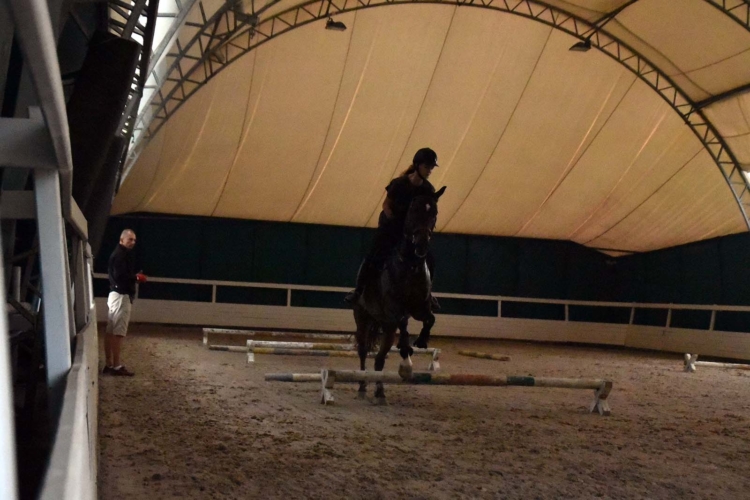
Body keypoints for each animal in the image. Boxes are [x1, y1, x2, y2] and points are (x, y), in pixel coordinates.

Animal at [352, 186, 446, 403]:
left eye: (434, 213)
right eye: (413, 210)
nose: (421, 244)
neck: (410, 265)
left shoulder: (419, 308)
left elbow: (430, 319)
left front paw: (421, 341)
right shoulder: (394, 309)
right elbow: (403, 325)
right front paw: (406, 356)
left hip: (386, 326)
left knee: (380, 359)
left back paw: (379, 391)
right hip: (363, 318)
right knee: (363, 351)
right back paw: (362, 385)